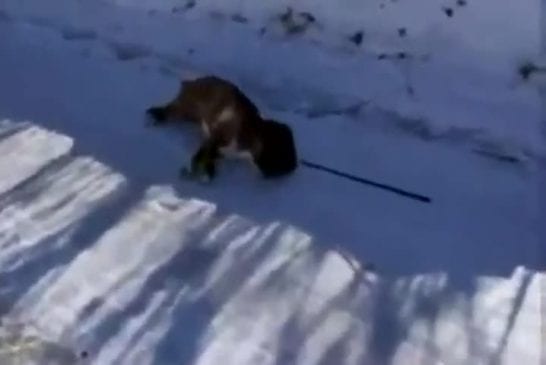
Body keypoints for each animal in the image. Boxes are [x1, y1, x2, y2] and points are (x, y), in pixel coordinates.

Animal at [147, 75, 296, 181]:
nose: (293, 165)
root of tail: (190, 82)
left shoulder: (222, 149)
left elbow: (210, 156)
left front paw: (207, 171)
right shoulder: (218, 136)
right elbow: (204, 152)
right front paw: (199, 171)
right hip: (186, 108)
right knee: (171, 110)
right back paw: (156, 116)